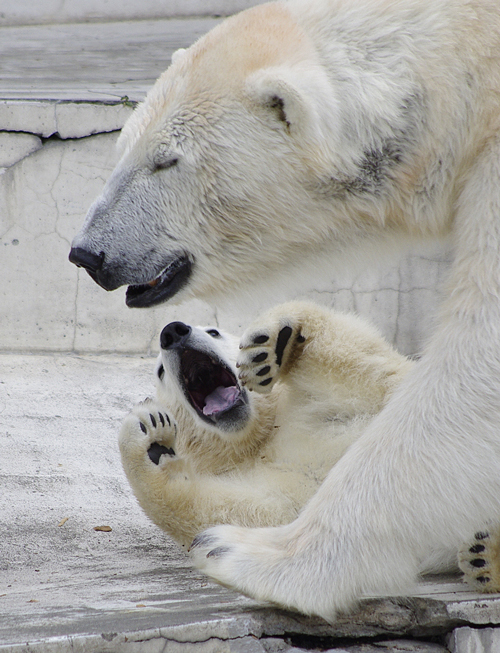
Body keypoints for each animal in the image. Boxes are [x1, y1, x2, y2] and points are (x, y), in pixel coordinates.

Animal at [69, 0, 500, 620]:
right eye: (124, 145)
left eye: (166, 160)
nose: (88, 253)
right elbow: (248, 503)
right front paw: (156, 447)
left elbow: (445, 367)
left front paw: (258, 558)